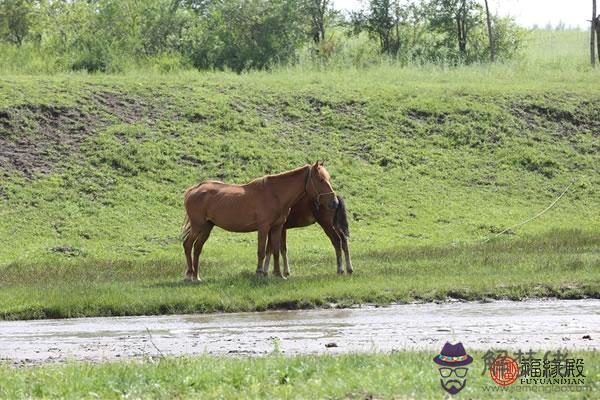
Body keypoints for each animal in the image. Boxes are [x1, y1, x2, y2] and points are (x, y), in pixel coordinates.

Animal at [180, 162, 338, 282]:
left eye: (329, 178)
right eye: (321, 180)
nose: (334, 203)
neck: (275, 194)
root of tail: (193, 190)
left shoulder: (277, 227)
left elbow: (275, 251)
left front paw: (278, 274)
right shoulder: (263, 227)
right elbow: (261, 251)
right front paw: (260, 272)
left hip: (206, 227)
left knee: (197, 248)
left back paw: (196, 276)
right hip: (198, 227)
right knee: (188, 245)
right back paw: (189, 276)